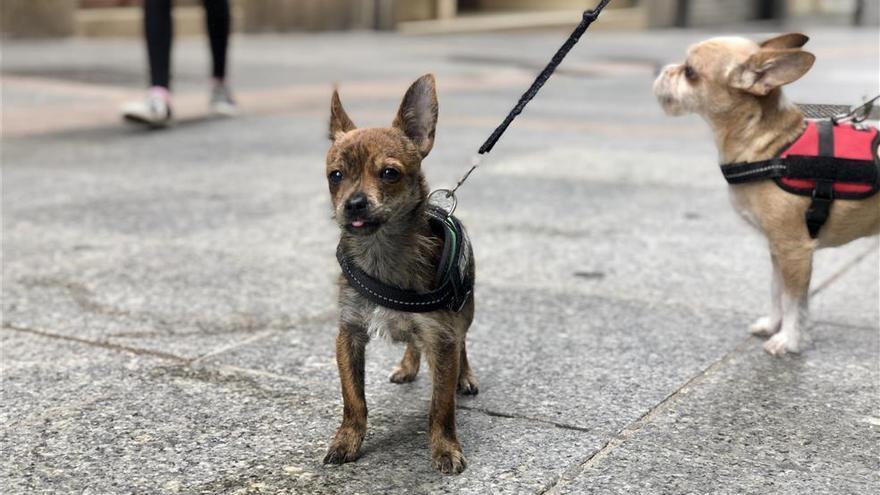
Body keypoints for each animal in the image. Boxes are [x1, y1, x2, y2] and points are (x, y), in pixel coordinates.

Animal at [322, 74, 478, 476]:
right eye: (335, 176)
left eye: (389, 173)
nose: (354, 203)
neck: (381, 251)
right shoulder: (349, 334)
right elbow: (353, 400)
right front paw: (346, 441)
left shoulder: (442, 335)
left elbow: (441, 406)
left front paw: (445, 448)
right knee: (412, 341)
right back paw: (408, 365)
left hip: (463, 312)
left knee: (463, 343)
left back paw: (465, 376)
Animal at [648, 33, 880, 354]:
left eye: (690, 72)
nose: (664, 71)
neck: (773, 150)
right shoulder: (777, 249)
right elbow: (777, 292)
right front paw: (774, 325)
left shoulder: (794, 250)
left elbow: (794, 301)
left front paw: (788, 339)